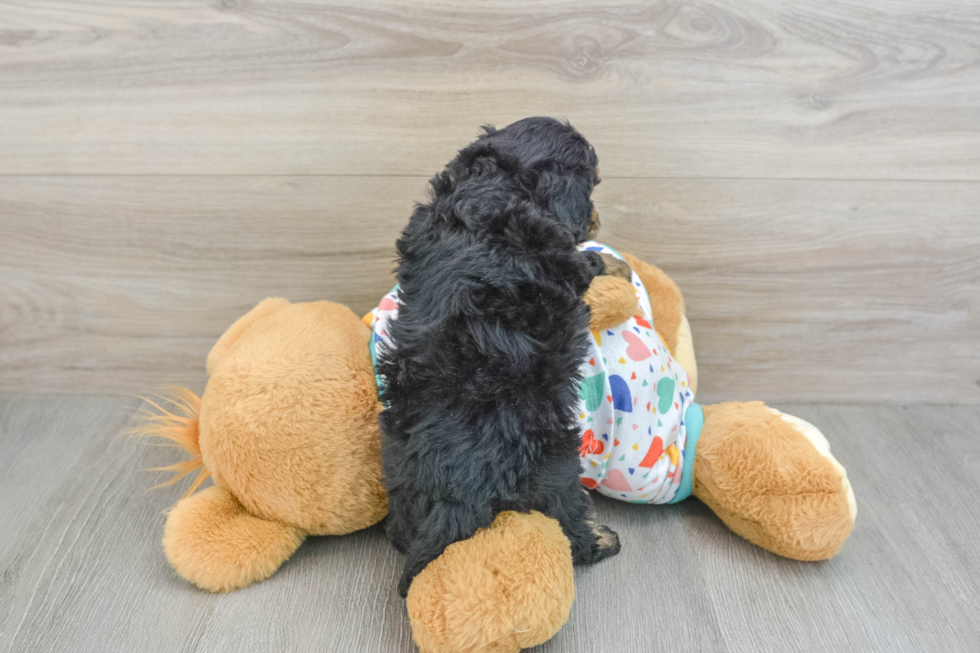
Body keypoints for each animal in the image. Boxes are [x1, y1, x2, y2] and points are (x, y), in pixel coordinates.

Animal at [378, 116, 620, 596]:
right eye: (592, 187)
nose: (597, 220)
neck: (497, 180)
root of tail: (459, 485)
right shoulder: (564, 256)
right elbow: (589, 264)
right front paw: (613, 264)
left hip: (397, 457)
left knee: (403, 529)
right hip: (557, 462)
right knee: (568, 521)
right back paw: (600, 540)